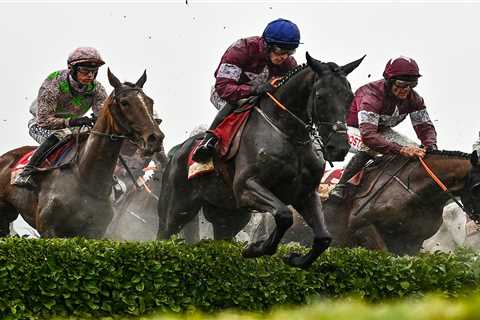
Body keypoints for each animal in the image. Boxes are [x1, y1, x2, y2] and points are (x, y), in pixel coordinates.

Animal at [0, 70, 164, 240]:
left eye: (150, 101)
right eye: (125, 102)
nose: (155, 138)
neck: (86, 178)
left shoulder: (94, 233)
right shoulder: (49, 231)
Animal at [158, 52, 364, 268]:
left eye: (350, 97)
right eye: (320, 96)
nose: (339, 147)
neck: (288, 134)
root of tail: (177, 152)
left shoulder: (305, 194)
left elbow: (323, 237)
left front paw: (295, 258)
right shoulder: (246, 186)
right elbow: (284, 215)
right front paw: (255, 248)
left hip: (230, 215)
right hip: (175, 210)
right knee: (163, 235)